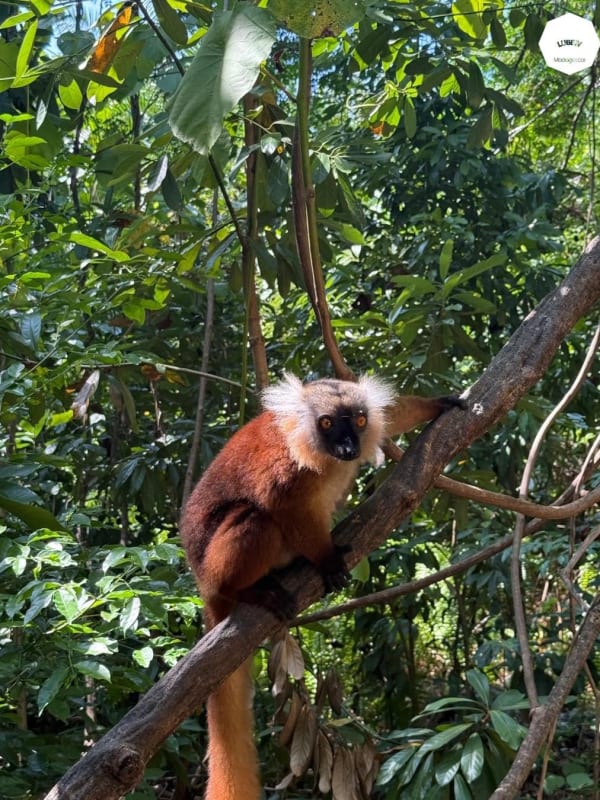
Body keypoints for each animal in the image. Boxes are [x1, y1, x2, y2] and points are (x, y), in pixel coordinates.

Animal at [180, 373, 464, 800]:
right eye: (327, 423)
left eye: (359, 421)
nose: (349, 448)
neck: (325, 458)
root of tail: (203, 582)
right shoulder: (285, 469)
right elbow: (284, 510)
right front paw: (327, 560)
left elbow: (391, 416)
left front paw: (438, 404)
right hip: (215, 566)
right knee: (256, 520)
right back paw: (247, 591)